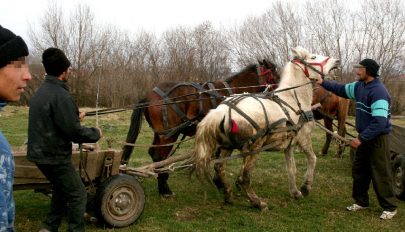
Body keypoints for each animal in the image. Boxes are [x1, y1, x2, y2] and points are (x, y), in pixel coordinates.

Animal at [121, 59, 278, 196]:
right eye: (274, 73)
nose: (278, 91)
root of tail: (149, 97)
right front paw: (221, 182)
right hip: (169, 135)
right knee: (160, 156)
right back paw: (164, 188)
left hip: (160, 134)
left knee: (154, 153)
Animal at [191, 46, 340, 210]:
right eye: (313, 57)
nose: (337, 61)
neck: (294, 100)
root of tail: (221, 111)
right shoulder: (304, 139)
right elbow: (313, 159)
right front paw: (306, 186)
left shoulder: (289, 145)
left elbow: (291, 169)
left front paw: (295, 192)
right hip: (254, 148)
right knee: (245, 177)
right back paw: (257, 202)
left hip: (228, 146)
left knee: (219, 167)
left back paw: (229, 195)